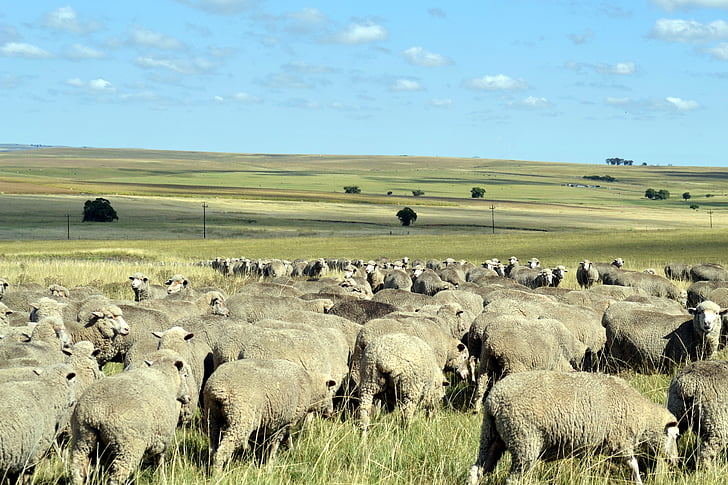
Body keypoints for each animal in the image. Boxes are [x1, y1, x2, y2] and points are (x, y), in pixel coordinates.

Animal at [199, 356, 336, 468]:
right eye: (331, 392)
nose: (330, 412)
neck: (310, 386)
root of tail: (219, 388)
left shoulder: (280, 422)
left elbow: (285, 439)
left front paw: (291, 451)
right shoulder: (284, 423)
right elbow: (274, 445)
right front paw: (269, 465)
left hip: (212, 415)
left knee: (213, 446)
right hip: (241, 418)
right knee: (223, 450)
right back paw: (217, 474)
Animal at [466, 368, 684, 482]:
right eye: (675, 436)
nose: (676, 461)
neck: (641, 415)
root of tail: (494, 400)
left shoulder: (591, 446)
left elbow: (587, 466)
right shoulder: (620, 442)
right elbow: (634, 466)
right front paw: (639, 482)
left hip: (491, 436)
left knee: (477, 469)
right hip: (524, 440)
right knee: (513, 479)